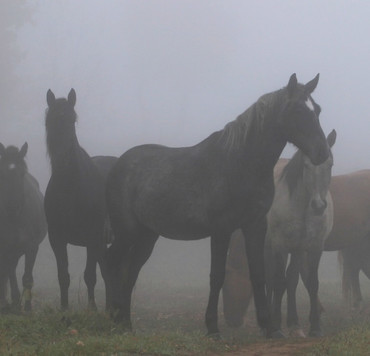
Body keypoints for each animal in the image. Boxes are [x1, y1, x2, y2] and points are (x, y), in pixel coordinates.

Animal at [0, 142, 47, 312]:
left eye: (22, 174)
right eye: (2, 174)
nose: (13, 207)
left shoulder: (31, 247)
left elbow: (27, 278)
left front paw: (27, 308)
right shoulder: (6, 248)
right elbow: (8, 273)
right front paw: (13, 303)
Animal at [44, 87, 118, 310]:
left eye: (72, 120)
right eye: (49, 121)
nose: (62, 159)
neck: (71, 189)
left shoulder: (92, 237)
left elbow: (89, 276)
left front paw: (92, 310)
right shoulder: (57, 238)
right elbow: (63, 276)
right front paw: (64, 309)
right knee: (108, 272)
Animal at [106, 74, 330, 336]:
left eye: (317, 109)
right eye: (297, 110)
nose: (322, 152)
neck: (241, 163)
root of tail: (119, 164)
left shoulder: (255, 226)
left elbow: (258, 274)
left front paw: (269, 327)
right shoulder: (221, 229)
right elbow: (217, 276)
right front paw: (212, 327)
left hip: (147, 235)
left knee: (131, 271)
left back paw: (126, 323)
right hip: (126, 232)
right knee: (112, 261)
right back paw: (112, 318)